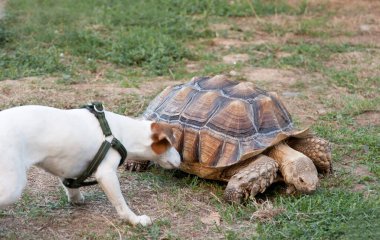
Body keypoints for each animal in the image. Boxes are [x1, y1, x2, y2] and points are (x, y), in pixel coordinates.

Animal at [0, 104, 181, 226]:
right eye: (171, 144)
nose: (180, 159)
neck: (118, 132)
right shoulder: (106, 174)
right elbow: (121, 204)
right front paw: (135, 220)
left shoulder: (67, 166)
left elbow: (71, 185)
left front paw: (76, 199)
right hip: (12, 187)